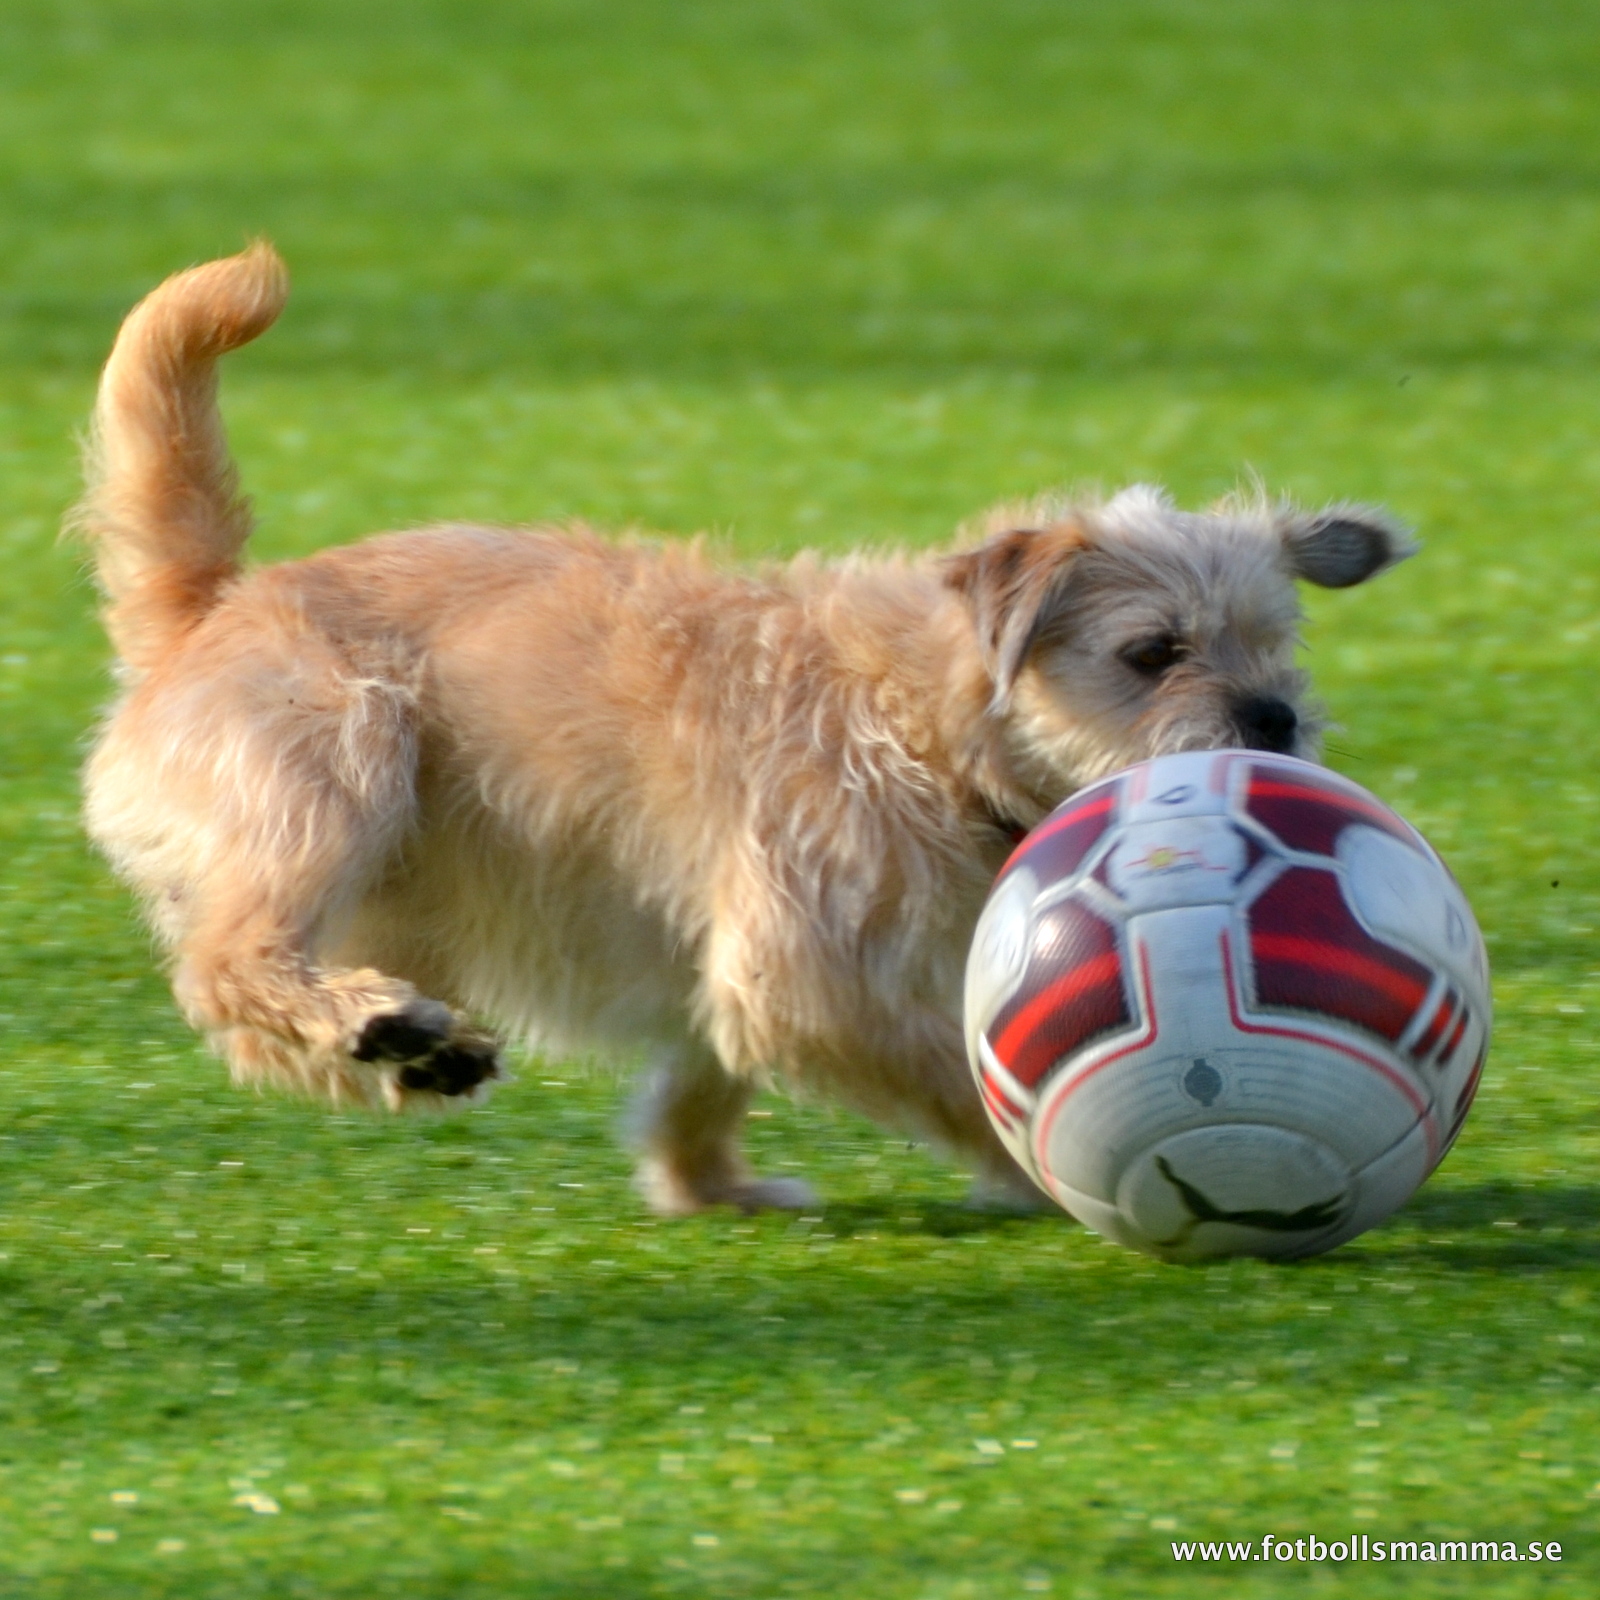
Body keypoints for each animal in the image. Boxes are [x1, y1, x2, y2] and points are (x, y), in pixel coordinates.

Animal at [75, 240, 1414, 1209]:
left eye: (1277, 648)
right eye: (1150, 654)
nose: (1272, 719)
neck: (923, 717)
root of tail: (210, 608)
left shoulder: (732, 956)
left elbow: (708, 1060)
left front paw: (705, 1185)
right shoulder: (810, 967)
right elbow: (945, 1069)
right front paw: (1037, 1171)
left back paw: (413, 1052)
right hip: (337, 768)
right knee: (227, 960)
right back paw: (374, 1020)